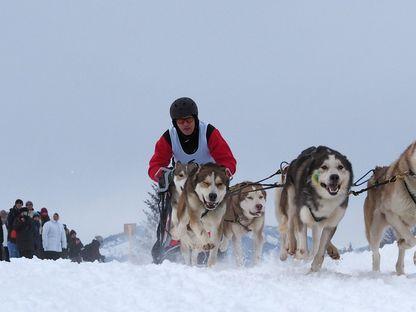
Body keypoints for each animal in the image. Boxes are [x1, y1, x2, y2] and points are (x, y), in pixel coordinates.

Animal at [364, 140, 416, 274]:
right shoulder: (390, 213)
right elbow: (411, 239)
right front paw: (405, 245)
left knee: (398, 260)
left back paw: (400, 272)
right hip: (374, 230)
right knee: (376, 255)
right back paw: (376, 273)